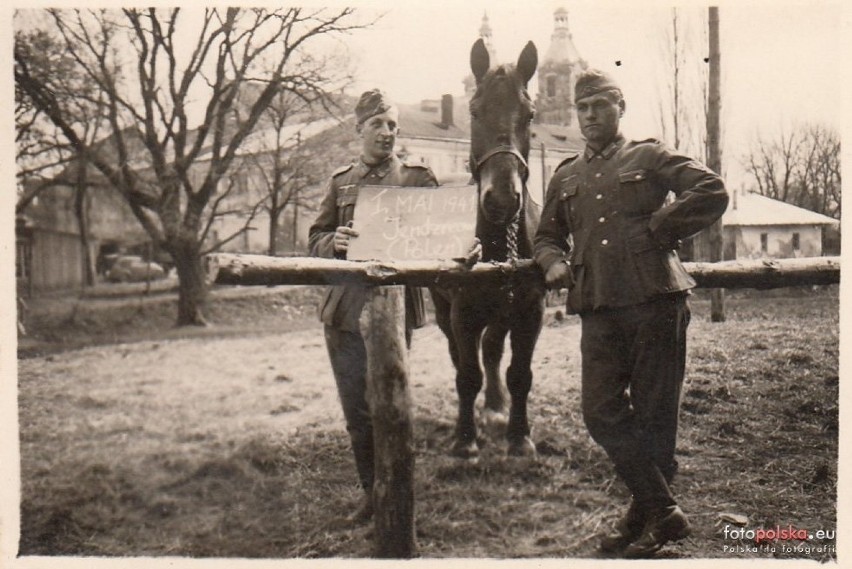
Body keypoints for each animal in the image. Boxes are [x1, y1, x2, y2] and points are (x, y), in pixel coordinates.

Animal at [432, 38, 544, 458]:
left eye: (529, 115)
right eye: (474, 111)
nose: (502, 200)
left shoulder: (530, 312)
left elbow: (519, 374)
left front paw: (519, 437)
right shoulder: (462, 313)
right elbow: (467, 374)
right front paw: (465, 441)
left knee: (494, 350)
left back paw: (496, 407)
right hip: (444, 309)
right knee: (461, 357)